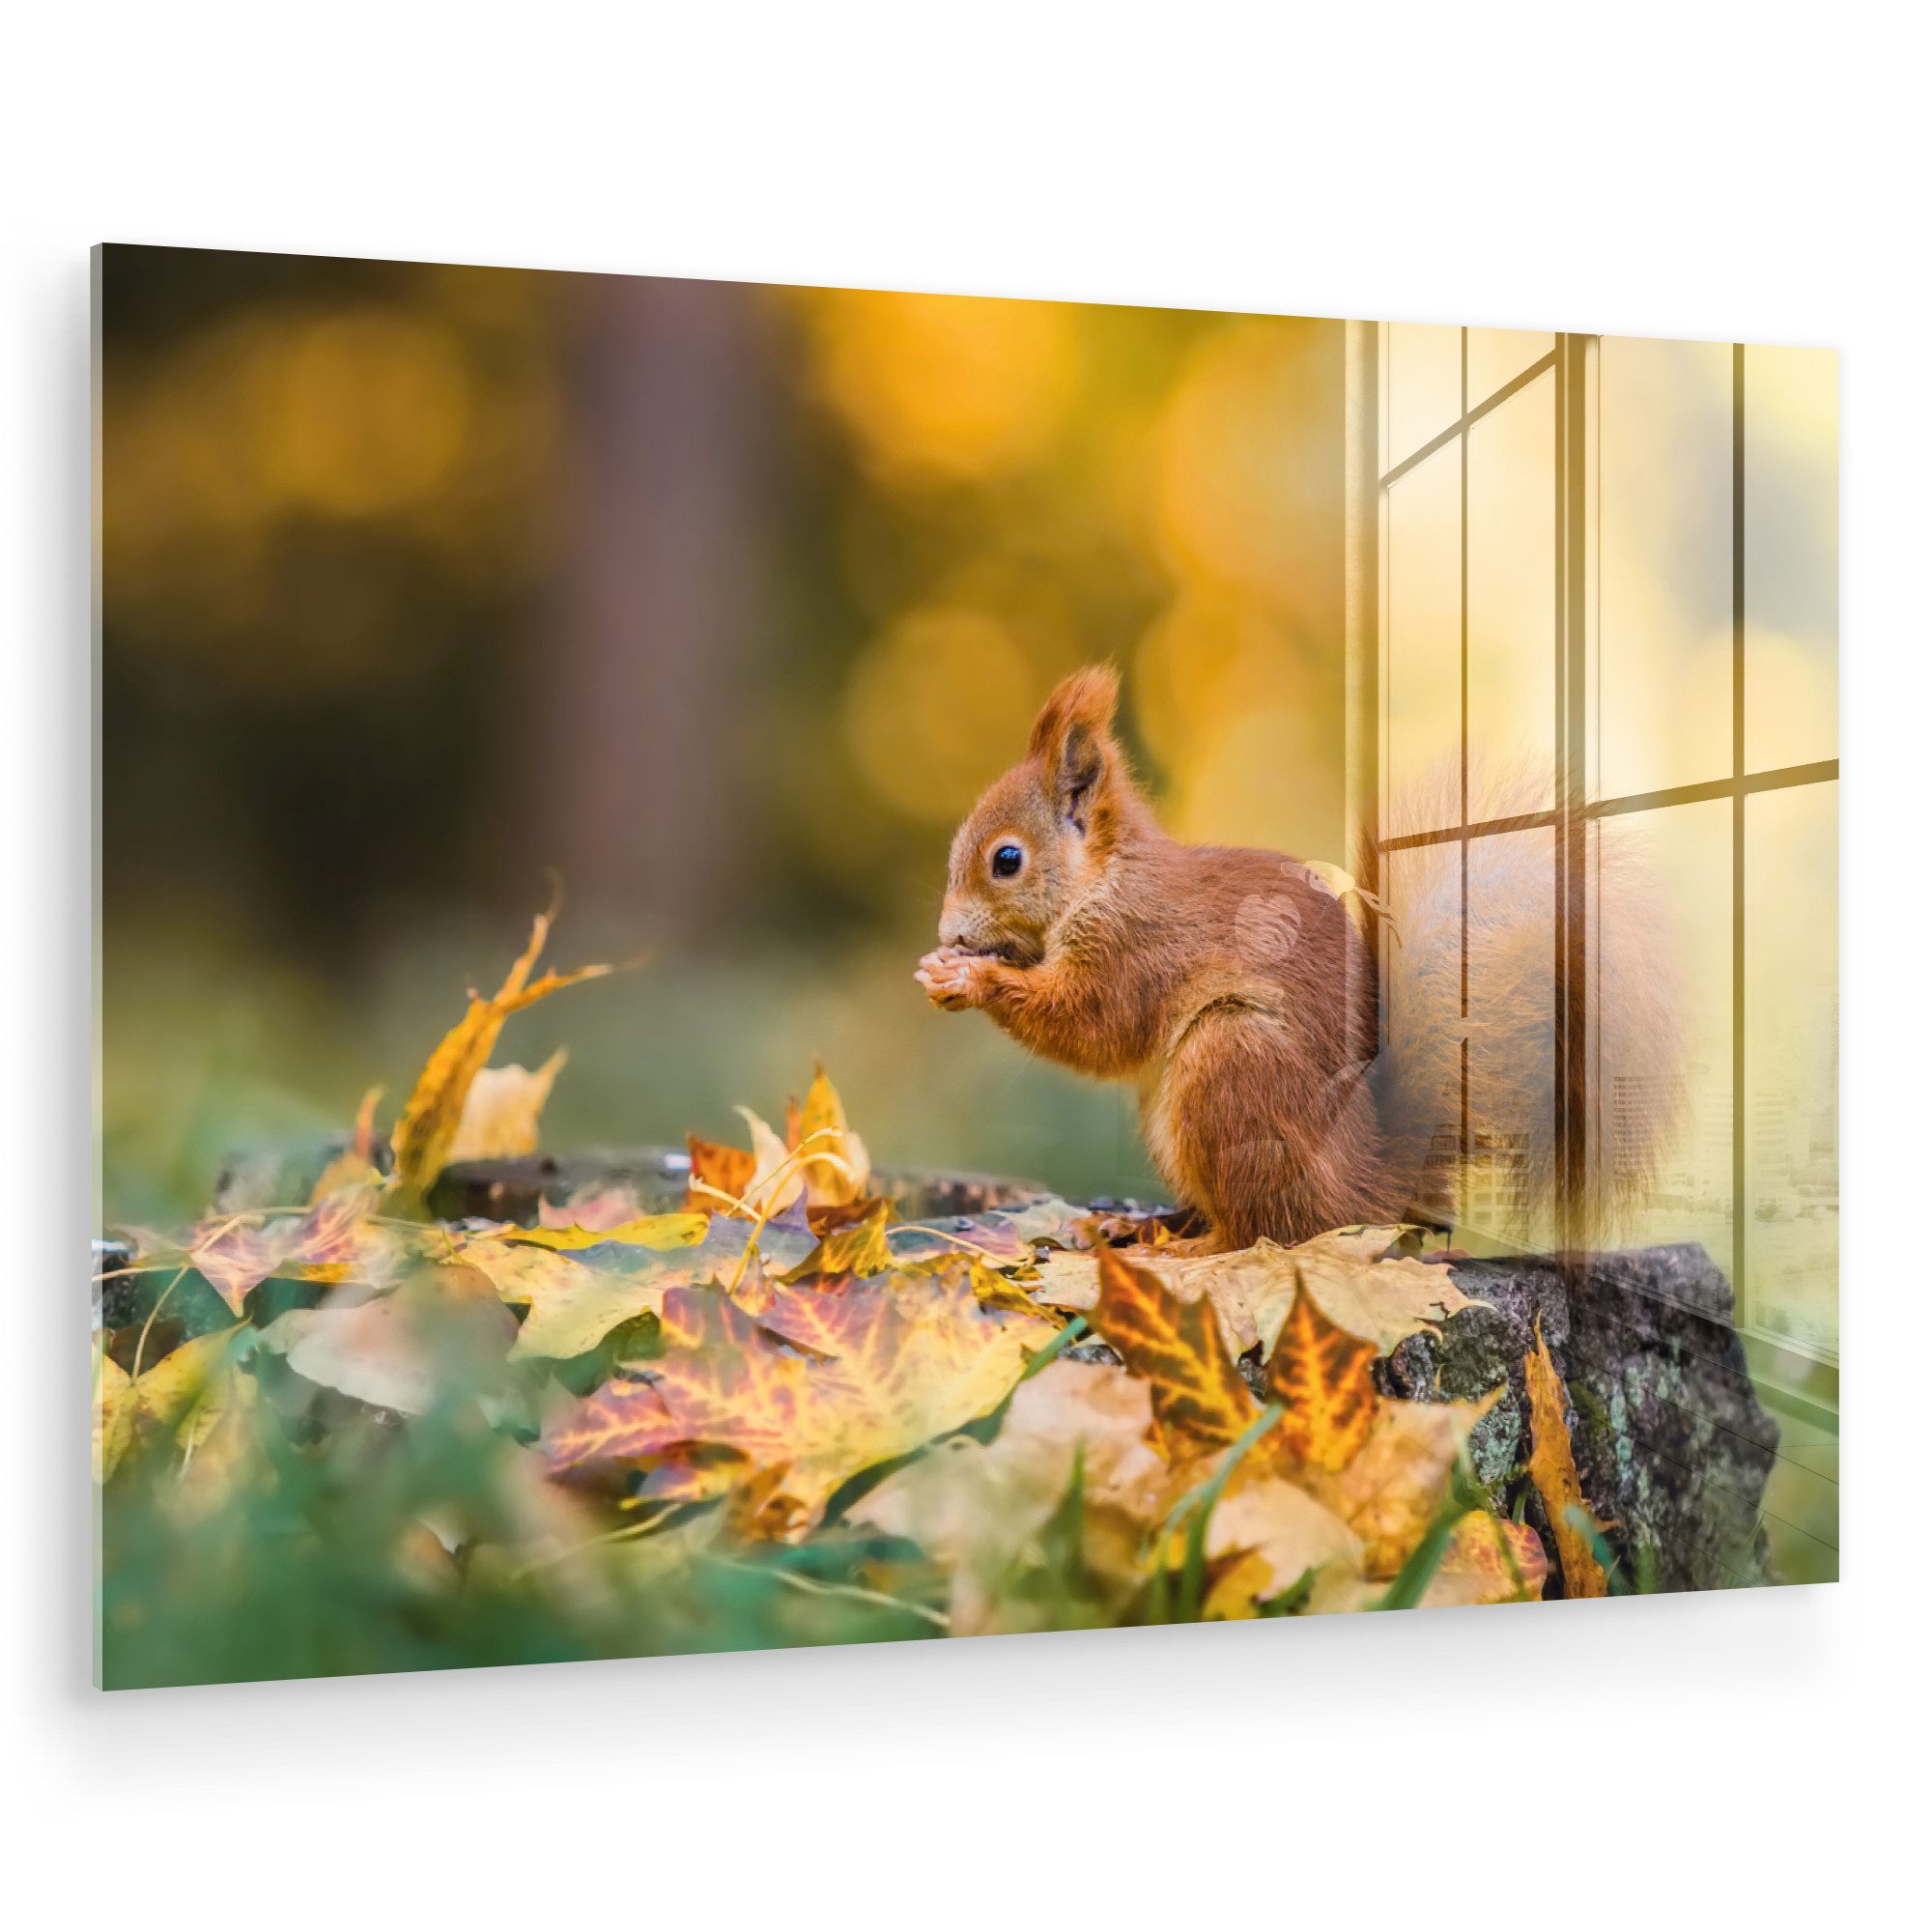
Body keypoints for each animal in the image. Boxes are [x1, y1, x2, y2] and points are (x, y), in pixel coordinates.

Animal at [915, 665, 1678, 1252]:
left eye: (1006, 860)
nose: (950, 933)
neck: (1105, 879)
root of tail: (1371, 1183)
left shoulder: (1136, 945)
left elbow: (1093, 1025)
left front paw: (971, 977)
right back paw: (1145, 1226)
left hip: (1233, 1064)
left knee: (1270, 1232)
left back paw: (1186, 1252)